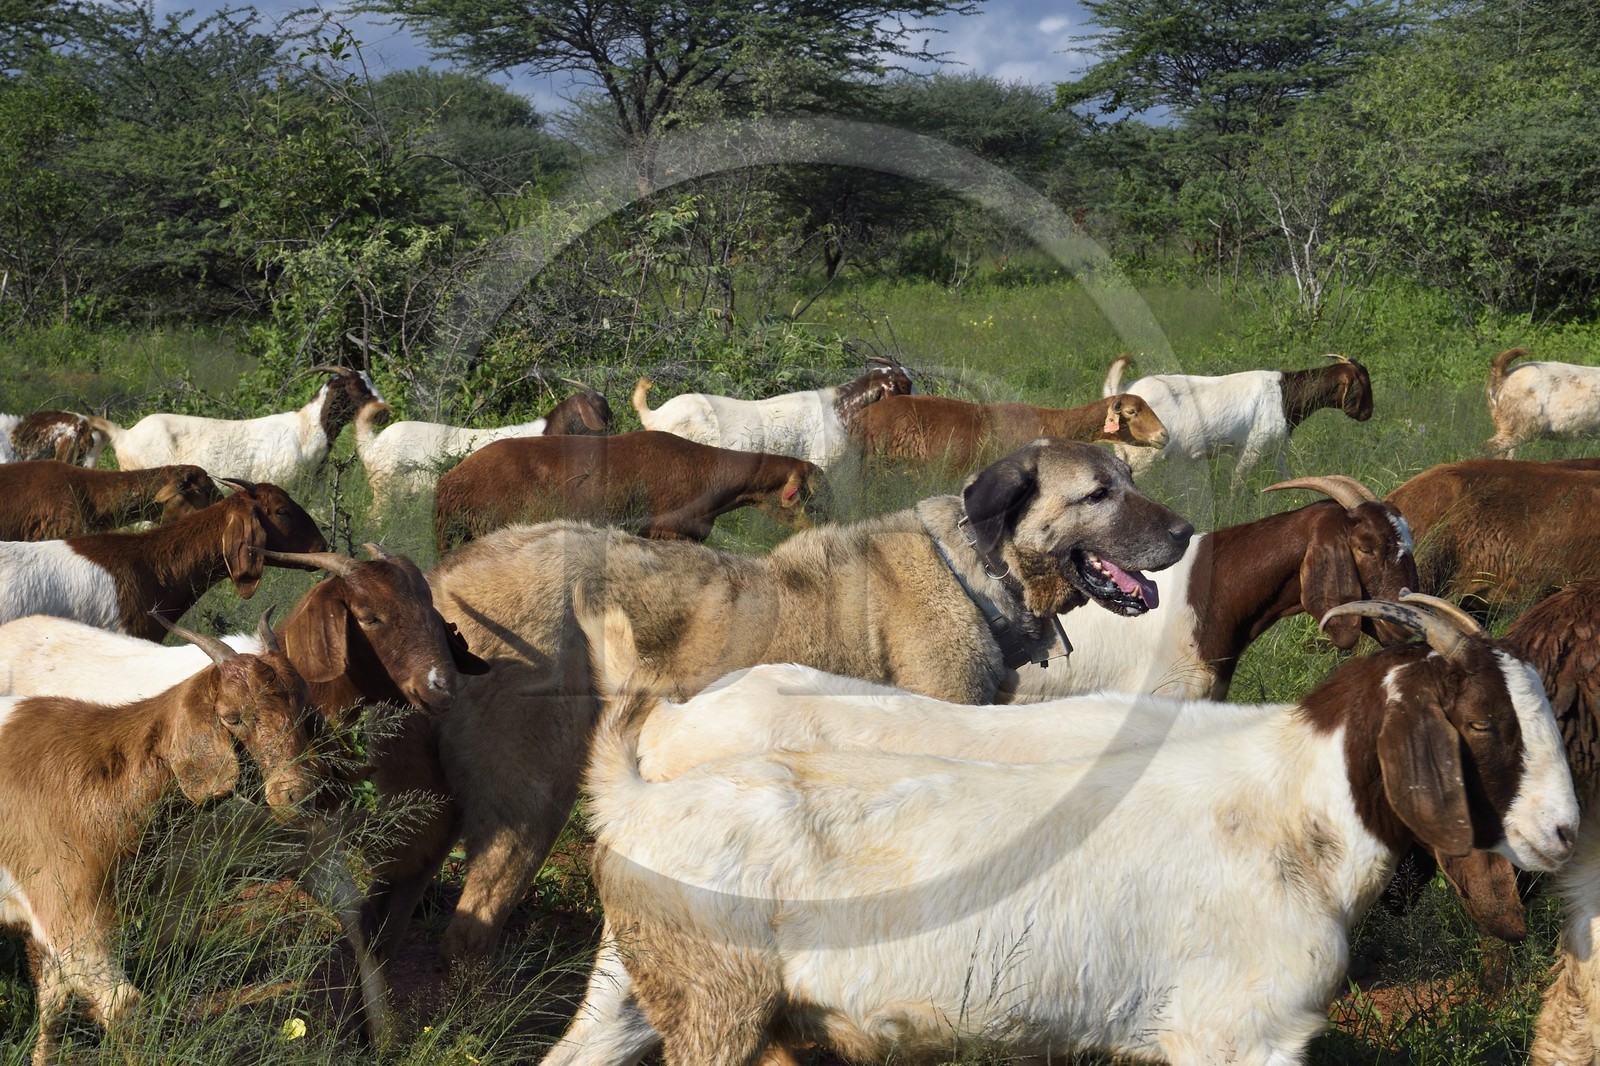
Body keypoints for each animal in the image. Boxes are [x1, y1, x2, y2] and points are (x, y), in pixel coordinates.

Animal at [0, 612, 321, 1066]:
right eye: (232, 717)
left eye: (304, 709)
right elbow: (124, 1010)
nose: (298, 792)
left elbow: (53, 1003)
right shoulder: (70, 917)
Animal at [570, 597, 1576, 1066]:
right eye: (1482, 722)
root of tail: (634, 790)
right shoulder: (1235, 1031)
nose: (1566, 832)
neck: (1296, 816)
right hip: (713, 1001)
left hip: (667, 985)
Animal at [1102, 352, 1374, 484]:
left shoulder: (1276, 449)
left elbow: (1286, 478)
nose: (1367, 413)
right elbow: (1238, 483)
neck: (1285, 393)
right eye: (1363, 382)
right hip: (1144, 456)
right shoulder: (1253, 447)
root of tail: (1120, 392)